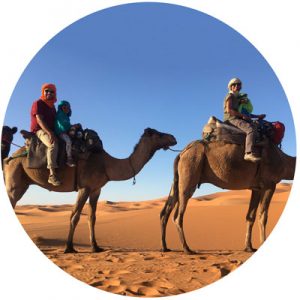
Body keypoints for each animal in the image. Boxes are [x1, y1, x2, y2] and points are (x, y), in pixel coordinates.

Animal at [4, 127, 176, 252]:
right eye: (157, 134)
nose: (173, 138)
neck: (106, 164)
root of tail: (9, 157)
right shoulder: (84, 187)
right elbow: (75, 216)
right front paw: (69, 248)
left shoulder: (96, 189)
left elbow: (92, 217)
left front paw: (95, 247)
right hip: (14, 180)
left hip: (23, 183)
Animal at [159, 139, 296, 254]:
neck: (284, 161)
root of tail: (181, 153)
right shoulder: (269, 184)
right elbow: (263, 216)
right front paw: (262, 243)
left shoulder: (256, 188)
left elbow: (250, 216)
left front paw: (249, 247)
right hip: (190, 170)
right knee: (178, 215)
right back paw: (187, 249)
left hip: (178, 178)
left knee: (165, 210)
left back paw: (165, 247)